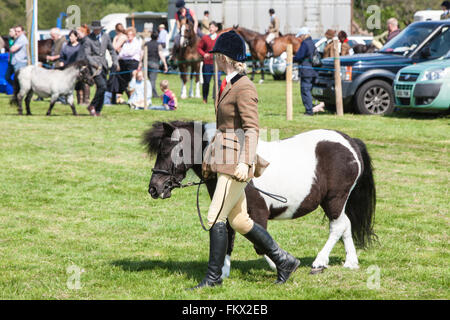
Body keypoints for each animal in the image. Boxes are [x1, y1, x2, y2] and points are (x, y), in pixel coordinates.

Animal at [143, 121, 376, 276]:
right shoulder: (227, 209)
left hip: (334, 199)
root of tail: (350, 142)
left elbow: (259, 243)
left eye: (168, 151)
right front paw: (223, 272)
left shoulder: (257, 211)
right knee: (346, 224)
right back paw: (351, 262)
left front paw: (281, 264)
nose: (154, 188)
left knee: (337, 226)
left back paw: (319, 262)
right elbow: (229, 236)